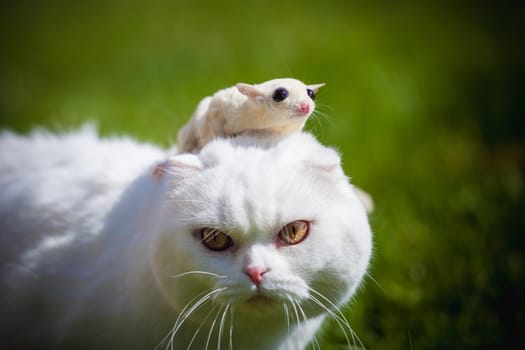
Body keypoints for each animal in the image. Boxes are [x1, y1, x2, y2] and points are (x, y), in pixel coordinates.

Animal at [177, 78, 324, 152]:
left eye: (311, 94)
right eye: (281, 94)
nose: (306, 106)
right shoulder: (221, 104)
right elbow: (214, 114)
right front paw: (220, 138)